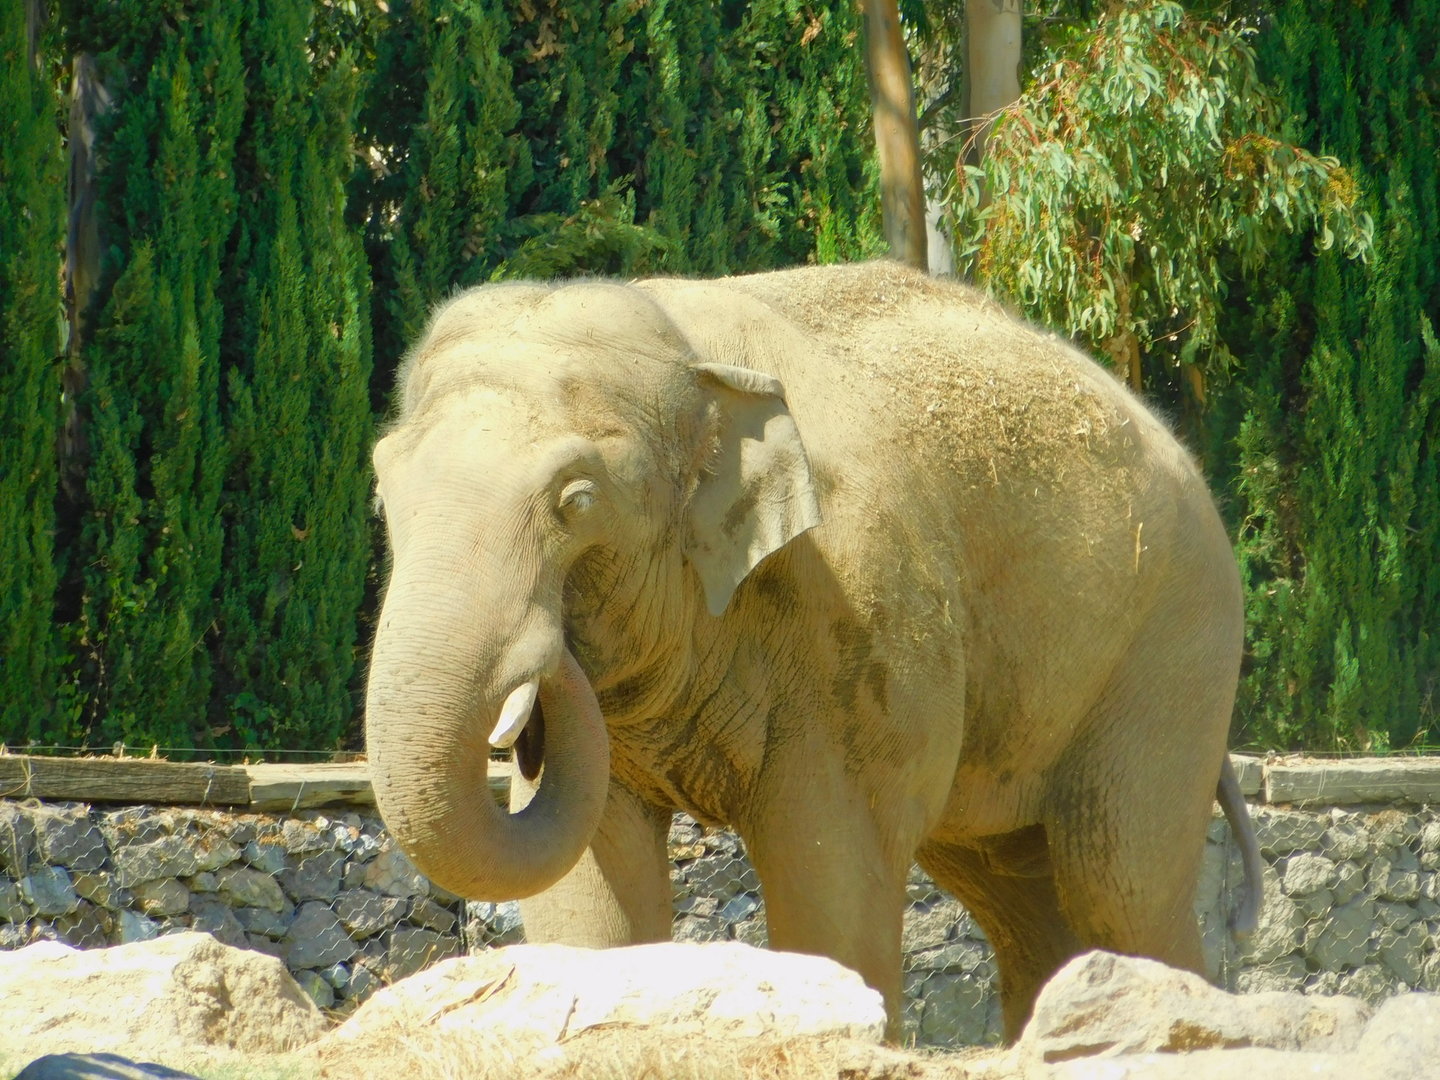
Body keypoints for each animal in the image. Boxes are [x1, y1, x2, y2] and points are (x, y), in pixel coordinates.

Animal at [365, 260, 1263, 1042]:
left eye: (576, 501)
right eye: (382, 490)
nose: (539, 683)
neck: (691, 351)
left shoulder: (857, 608)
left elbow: (830, 869)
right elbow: (589, 880)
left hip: (1175, 644)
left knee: (1118, 883)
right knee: (1020, 896)